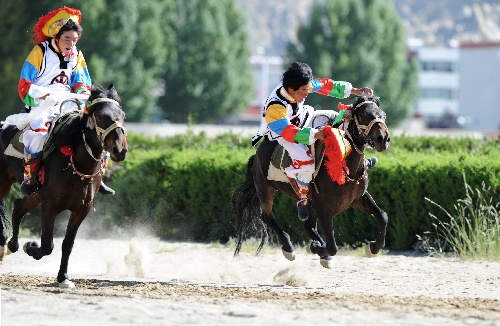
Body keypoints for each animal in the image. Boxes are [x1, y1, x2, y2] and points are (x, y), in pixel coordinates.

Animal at [0, 84, 128, 288]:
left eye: (122, 115)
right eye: (100, 116)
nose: (120, 150)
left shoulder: (82, 209)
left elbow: (67, 244)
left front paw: (63, 277)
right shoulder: (50, 205)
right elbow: (47, 245)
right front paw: (31, 247)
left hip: (34, 194)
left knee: (19, 207)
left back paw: (12, 244)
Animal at [233, 96, 390, 268]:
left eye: (383, 115)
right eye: (362, 115)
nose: (383, 139)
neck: (345, 165)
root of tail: (256, 154)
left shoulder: (357, 198)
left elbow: (382, 216)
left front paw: (373, 247)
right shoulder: (324, 209)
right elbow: (333, 247)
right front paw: (316, 248)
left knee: (307, 226)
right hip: (265, 188)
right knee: (267, 217)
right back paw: (290, 247)